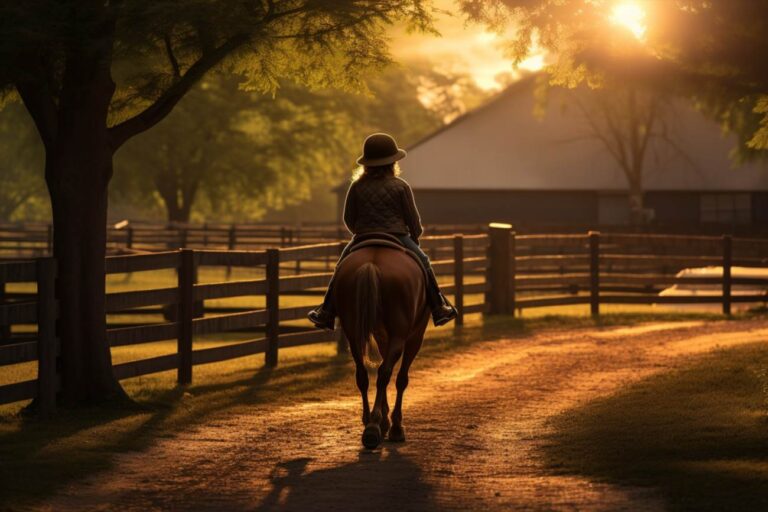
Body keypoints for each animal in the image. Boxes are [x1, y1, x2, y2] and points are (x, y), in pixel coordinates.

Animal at [336, 244, 432, 448]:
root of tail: (372, 264)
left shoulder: (382, 337)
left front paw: (384, 421)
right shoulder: (415, 337)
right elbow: (401, 379)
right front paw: (394, 425)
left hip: (353, 335)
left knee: (363, 376)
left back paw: (369, 422)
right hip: (400, 336)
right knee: (384, 374)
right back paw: (376, 428)